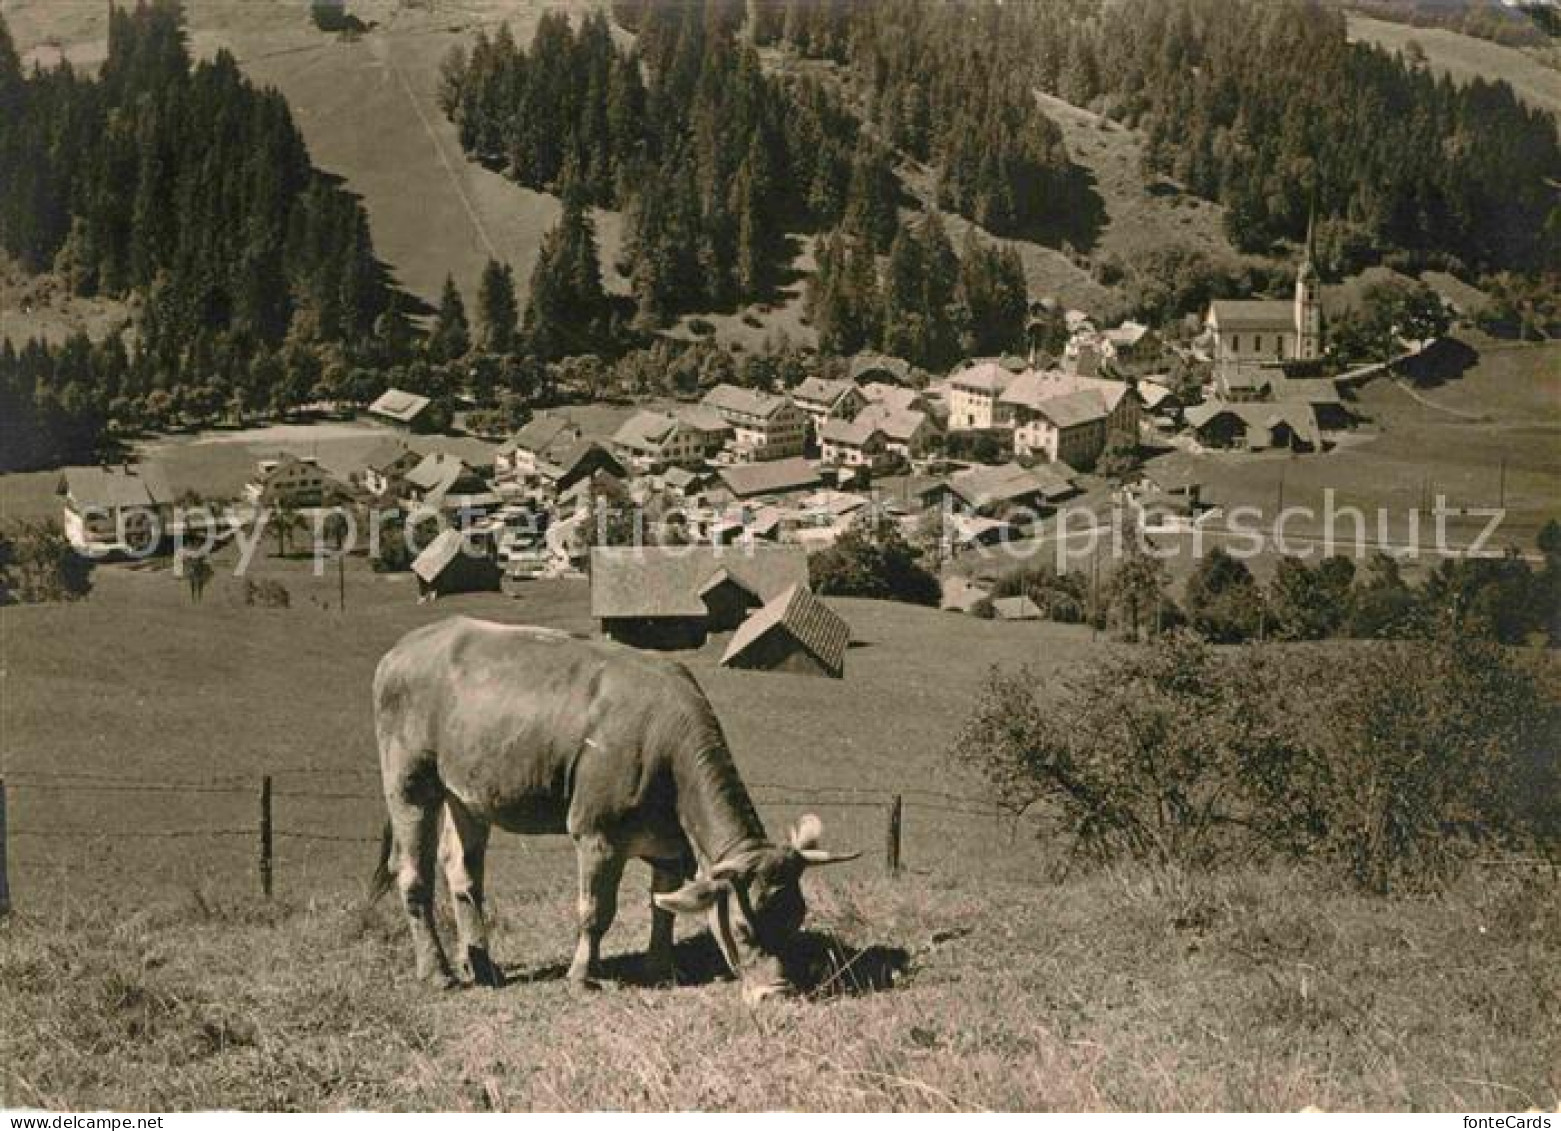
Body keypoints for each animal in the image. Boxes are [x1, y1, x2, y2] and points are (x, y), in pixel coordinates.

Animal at [368, 614, 855, 998]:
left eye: (797, 918)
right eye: (742, 929)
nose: (778, 991)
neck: (666, 746)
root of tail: (404, 647)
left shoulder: (669, 845)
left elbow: (662, 904)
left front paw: (660, 967)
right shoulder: (596, 832)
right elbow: (596, 911)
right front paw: (582, 977)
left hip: (468, 792)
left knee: (462, 872)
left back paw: (484, 968)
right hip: (409, 783)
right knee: (414, 876)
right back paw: (438, 974)